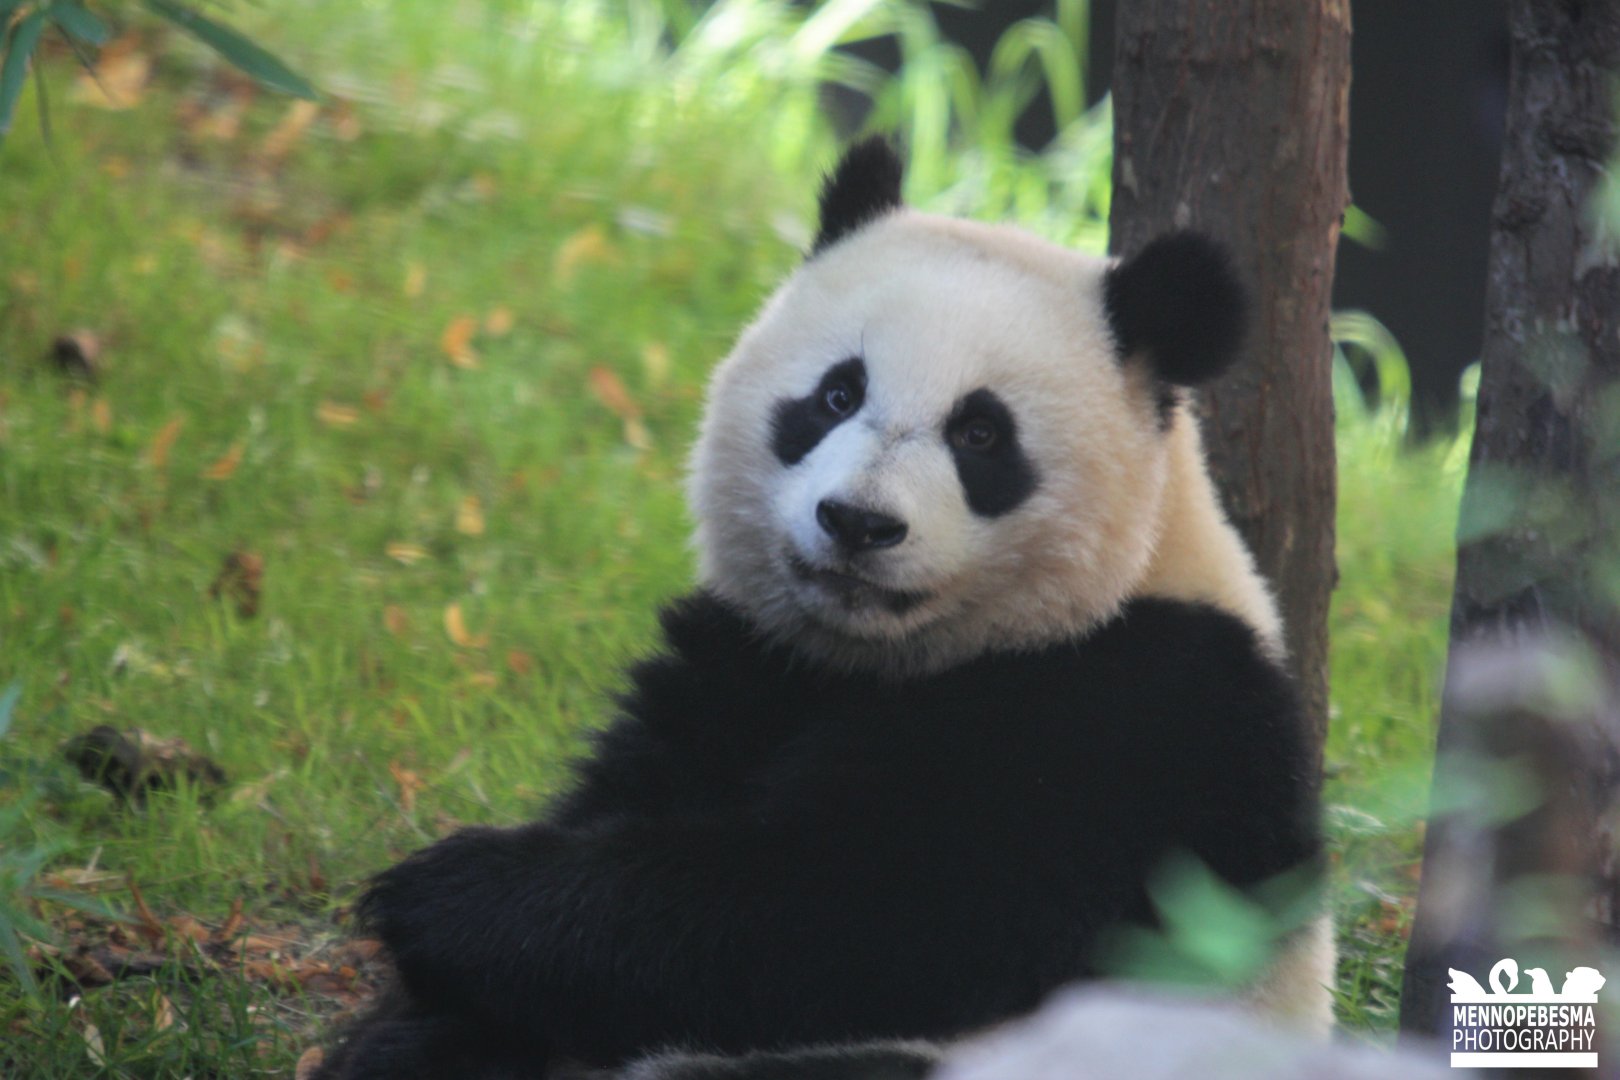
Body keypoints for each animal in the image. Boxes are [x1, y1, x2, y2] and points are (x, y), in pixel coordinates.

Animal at [314, 138, 1332, 1080]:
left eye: (980, 433)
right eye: (838, 393)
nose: (858, 522)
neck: (897, 655)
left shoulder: (1140, 726)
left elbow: (860, 914)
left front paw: (441, 894)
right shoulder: (746, 662)